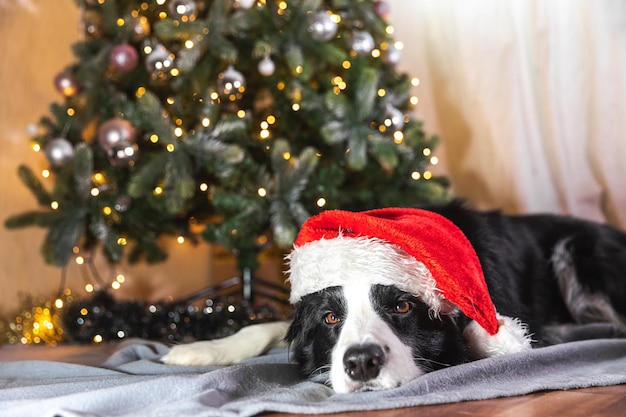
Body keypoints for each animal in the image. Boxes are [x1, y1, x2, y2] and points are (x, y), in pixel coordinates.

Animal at [162, 202, 624, 394]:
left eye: (402, 306)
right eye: (331, 318)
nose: (362, 363)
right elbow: (270, 325)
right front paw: (201, 349)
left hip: (579, 249)